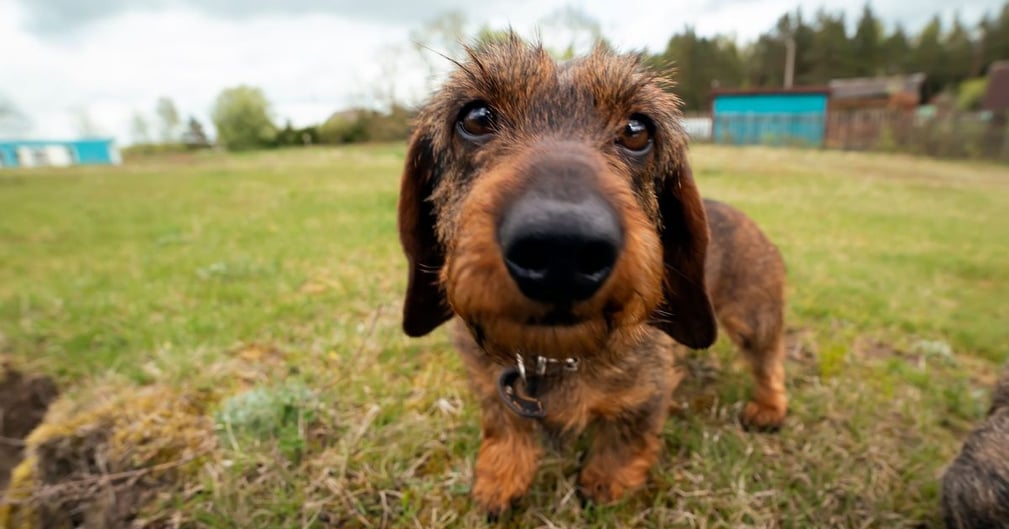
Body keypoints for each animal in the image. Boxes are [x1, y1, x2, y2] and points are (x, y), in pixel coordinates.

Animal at [393, 36, 787, 516]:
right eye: (475, 117)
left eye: (638, 129)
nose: (561, 249)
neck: (553, 355)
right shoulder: (490, 387)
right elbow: (504, 427)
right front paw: (501, 476)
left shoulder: (647, 395)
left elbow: (625, 436)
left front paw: (605, 480)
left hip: (755, 320)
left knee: (769, 362)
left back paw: (767, 408)